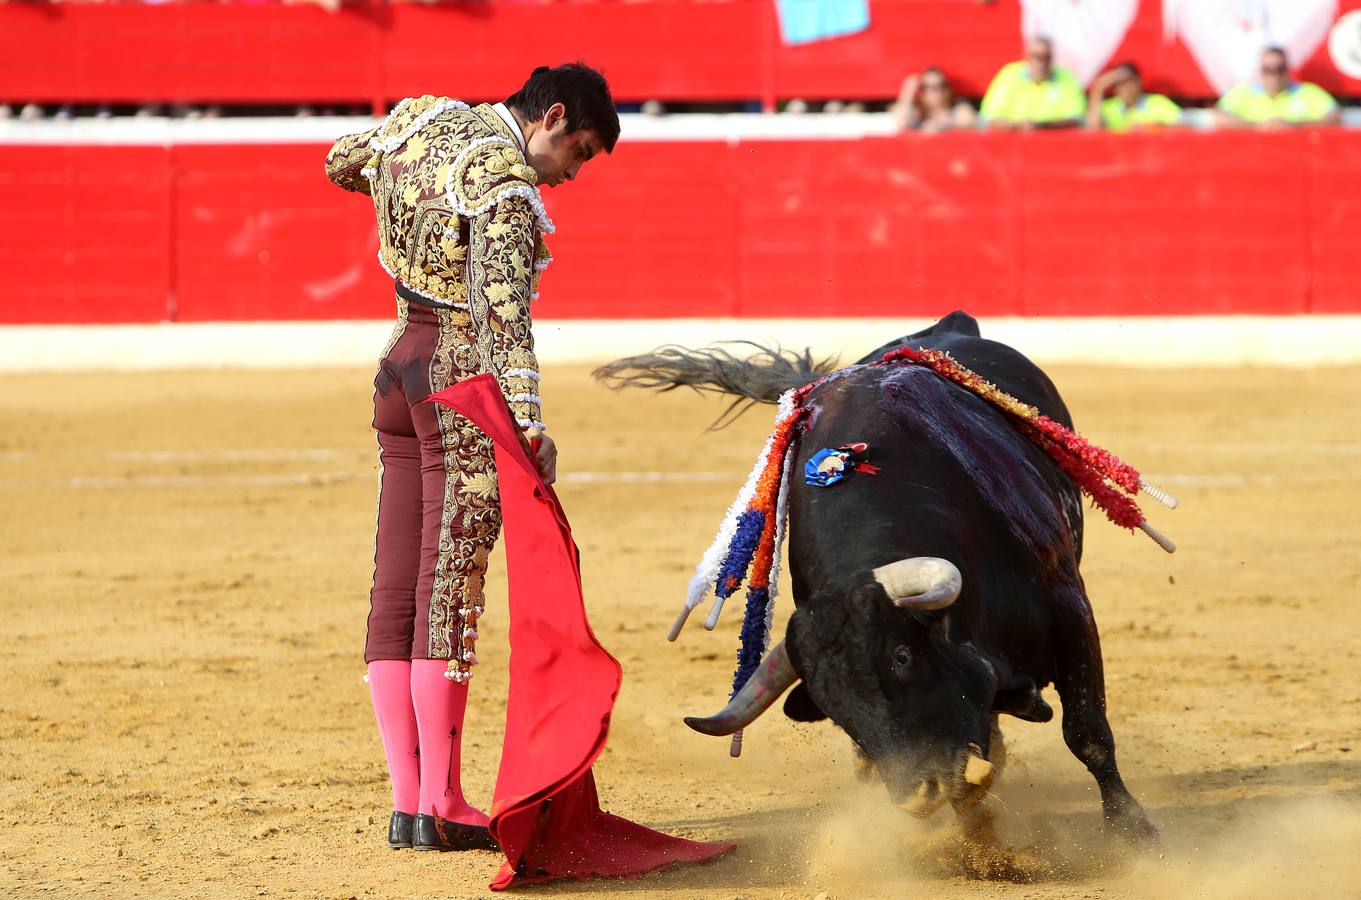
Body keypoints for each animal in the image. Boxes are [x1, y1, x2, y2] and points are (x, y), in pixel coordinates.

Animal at [598, 311, 1159, 838]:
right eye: (833, 708)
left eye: (902, 656)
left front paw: (1132, 833)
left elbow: (1087, 731)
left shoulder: (1069, 608)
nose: (920, 793)